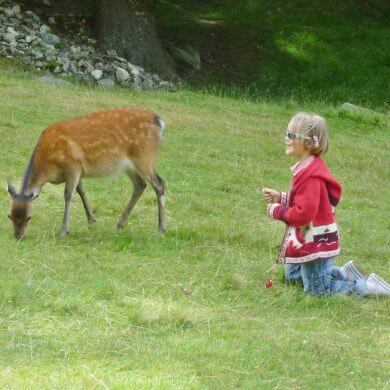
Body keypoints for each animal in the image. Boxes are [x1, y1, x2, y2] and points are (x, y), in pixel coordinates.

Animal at [6, 108, 167, 239]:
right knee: (140, 185)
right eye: (10, 216)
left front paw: (64, 230)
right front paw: (91, 220)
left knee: (159, 183)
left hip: (144, 157)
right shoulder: (78, 170)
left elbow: (68, 195)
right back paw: (119, 224)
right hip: (130, 166)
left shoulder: (73, 165)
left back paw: (161, 229)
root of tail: (159, 122)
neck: (48, 166)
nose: (18, 236)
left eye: (28, 217)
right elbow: (81, 191)